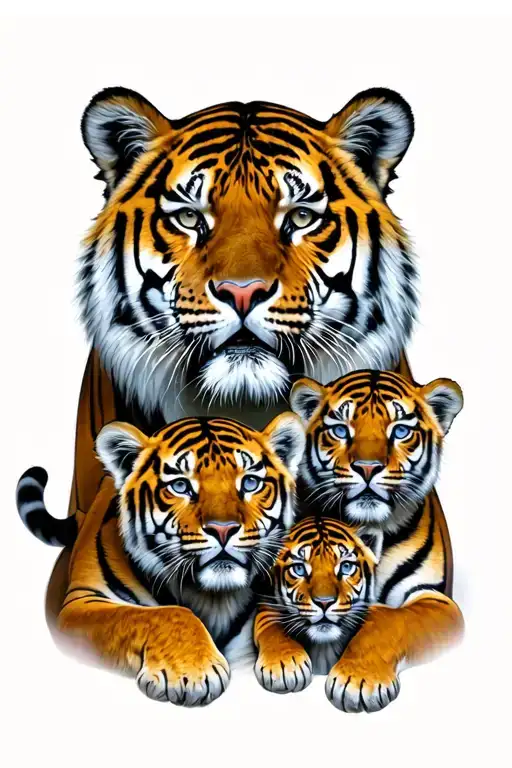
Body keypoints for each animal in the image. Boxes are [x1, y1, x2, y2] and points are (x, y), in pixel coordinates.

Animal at [16, 412, 305, 706]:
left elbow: (273, 617)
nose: (223, 529)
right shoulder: (82, 602)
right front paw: (193, 673)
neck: (214, 598)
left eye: (249, 483)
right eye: (180, 485)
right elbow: (161, 614)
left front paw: (286, 660)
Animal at [254, 517, 386, 704]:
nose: (324, 602)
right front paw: (284, 664)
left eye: (346, 567)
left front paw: (359, 679)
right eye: (299, 569)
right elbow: (270, 628)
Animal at [287, 369, 464, 711]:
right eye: (341, 430)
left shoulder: (434, 598)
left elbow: (390, 620)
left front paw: (357, 680)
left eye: (401, 431)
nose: (367, 468)